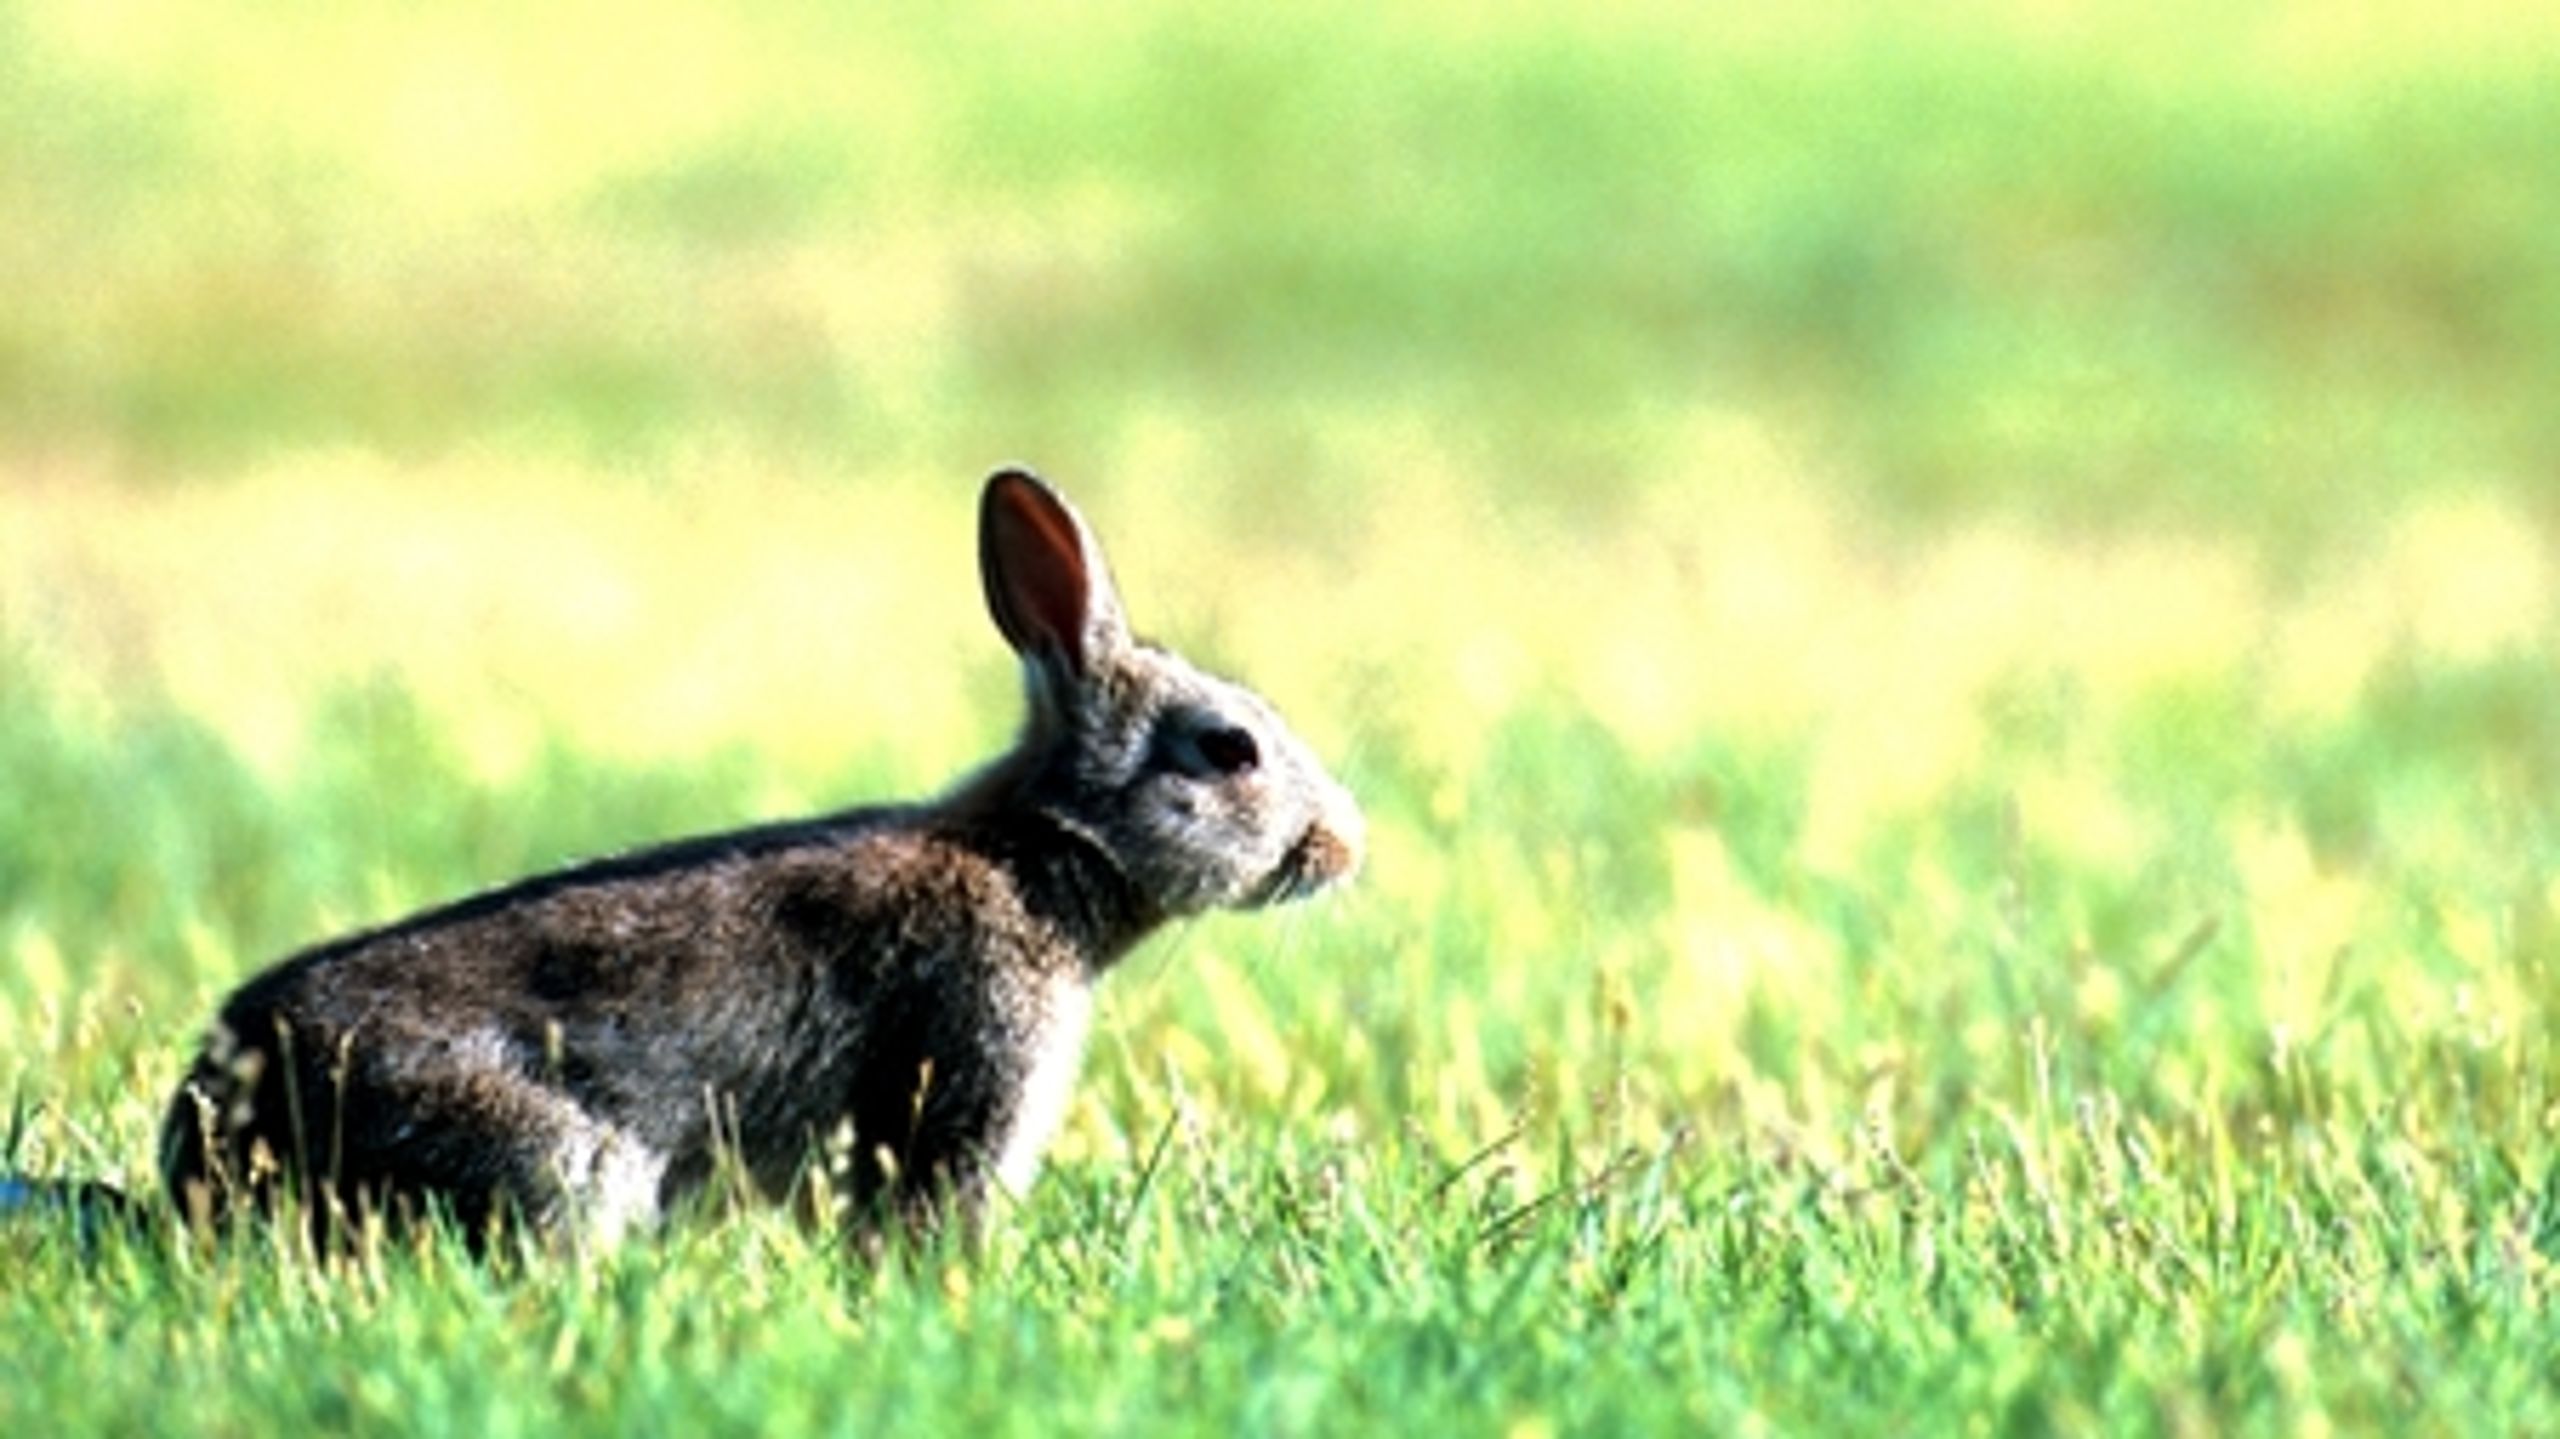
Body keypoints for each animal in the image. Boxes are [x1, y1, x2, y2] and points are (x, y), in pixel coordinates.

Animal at [157, 471, 1361, 1244]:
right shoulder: (971, 1045)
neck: (1035, 854)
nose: (1345, 843)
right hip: (548, 1155)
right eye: (1230, 747)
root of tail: (208, 1129)